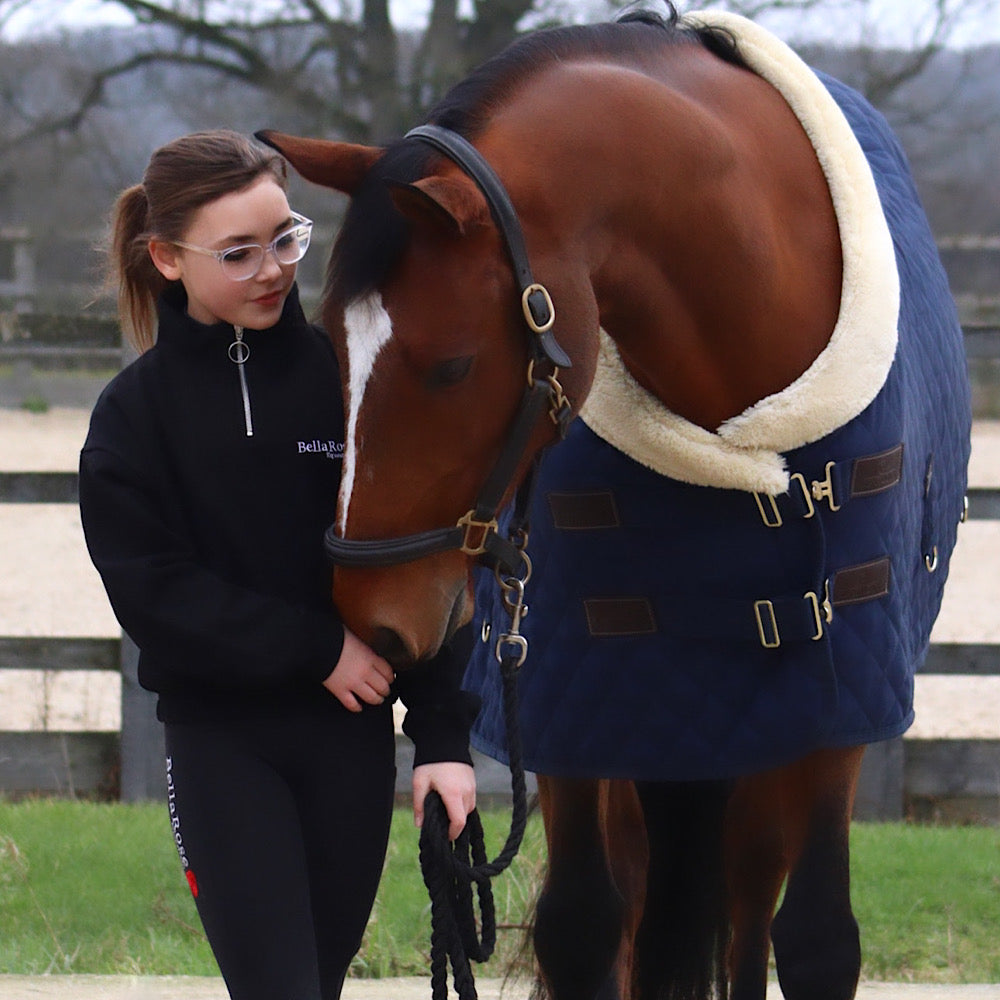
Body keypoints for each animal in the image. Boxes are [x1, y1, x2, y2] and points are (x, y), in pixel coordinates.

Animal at [258, 7, 968, 1000]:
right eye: (331, 345)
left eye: (452, 366)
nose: (374, 617)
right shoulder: (585, 704)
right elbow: (592, 927)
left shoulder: (837, 708)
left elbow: (818, 937)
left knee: (745, 898)